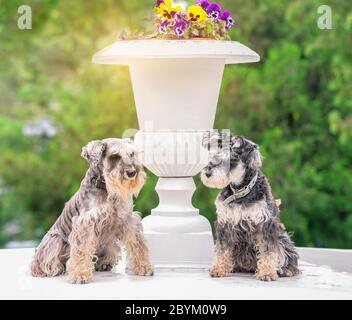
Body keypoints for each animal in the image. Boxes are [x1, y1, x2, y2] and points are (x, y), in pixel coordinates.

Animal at [28, 139, 153, 284]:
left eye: (132, 154)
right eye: (114, 156)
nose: (132, 172)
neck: (106, 188)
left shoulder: (128, 219)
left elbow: (137, 244)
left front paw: (143, 267)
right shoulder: (85, 223)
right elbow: (81, 250)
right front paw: (80, 275)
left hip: (109, 242)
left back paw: (104, 263)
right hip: (55, 240)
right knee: (44, 262)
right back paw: (51, 269)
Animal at [201, 132, 300, 280]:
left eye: (230, 159)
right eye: (213, 155)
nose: (207, 173)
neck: (240, 190)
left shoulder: (265, 224)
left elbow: (268, 250)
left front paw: (267, 273)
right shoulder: (224, 224)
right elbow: (222, 249)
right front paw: (218, 269)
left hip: (282, 239)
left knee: (286, 256)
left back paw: (287, 270)